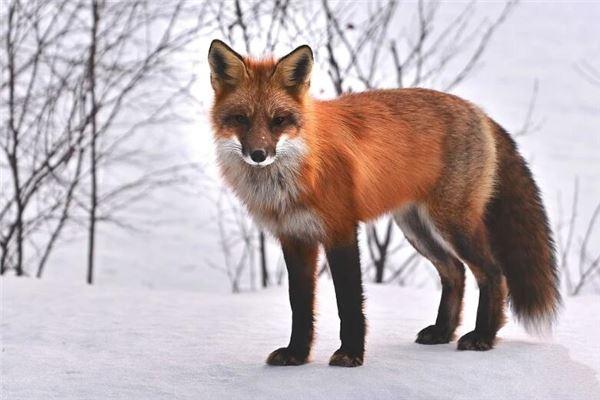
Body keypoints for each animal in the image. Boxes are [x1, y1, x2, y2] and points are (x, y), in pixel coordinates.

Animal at [209, 39, 560, 368]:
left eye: (278, 120)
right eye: (240, 119)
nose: (258, 155)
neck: (297, 172)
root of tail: (478, 111)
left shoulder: (341, 230)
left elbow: (349, 302)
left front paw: (350, 354)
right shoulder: (295, 238)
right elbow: (300, 306)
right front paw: (297, 354)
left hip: (452, 224)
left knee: (493, 273)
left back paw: (483, 336)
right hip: (417, 228)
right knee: (455, 272)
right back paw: (443, 331)